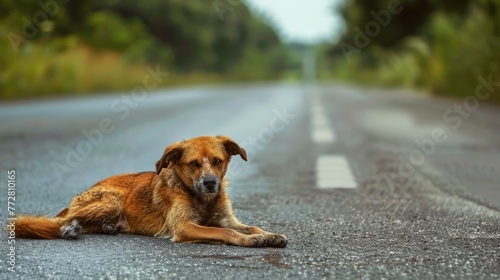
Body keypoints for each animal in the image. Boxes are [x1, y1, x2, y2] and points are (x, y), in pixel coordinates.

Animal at [13, 136, 288, 247]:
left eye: (217, 161)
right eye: (193, 164)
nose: (211, 183)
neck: (202, 198)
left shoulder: (227, 218)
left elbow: (248, 226)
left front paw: (269, 235)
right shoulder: (184, 227)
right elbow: (226, 233)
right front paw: (250, 240)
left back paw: (105, 228)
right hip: (111, 200)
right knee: (60, 221)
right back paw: (69, 230)